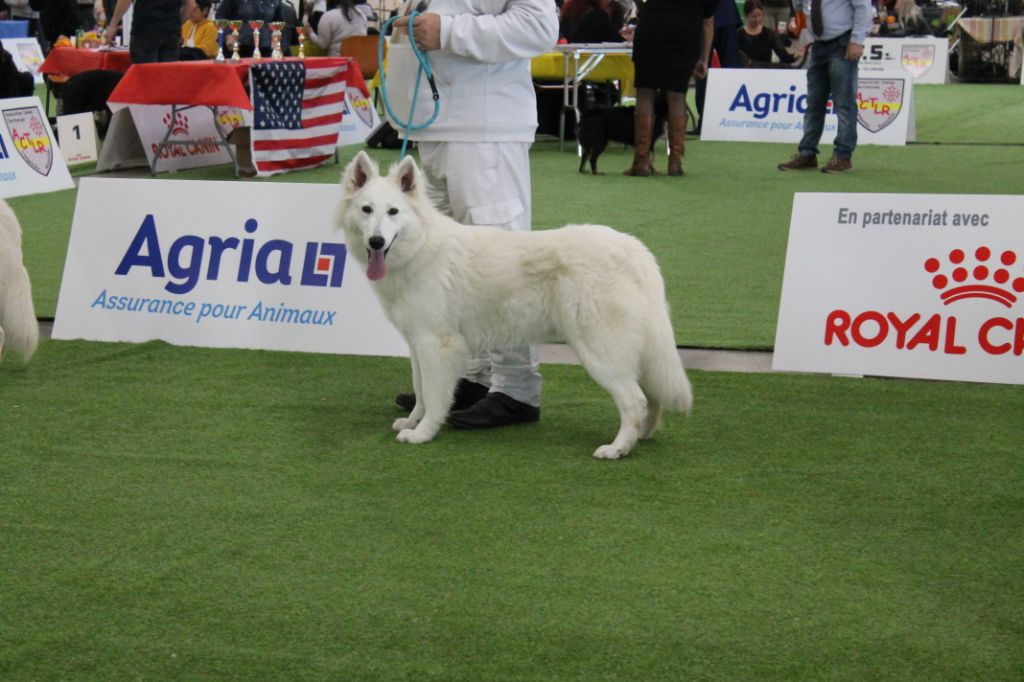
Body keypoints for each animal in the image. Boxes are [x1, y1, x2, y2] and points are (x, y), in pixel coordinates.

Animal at [339, 148, 692, 456]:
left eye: (393, 212)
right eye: (366, 210)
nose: (376, 242)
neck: (420, 247)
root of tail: (635, 250)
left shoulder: (436, 344)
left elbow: (435, 396)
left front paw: (423, 433)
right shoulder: (417, 343)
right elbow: (421, 391)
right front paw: (411, 422)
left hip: (600, 352)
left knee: (635, 401)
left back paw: (617, 449)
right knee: (652, 397)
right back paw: (642, 436)